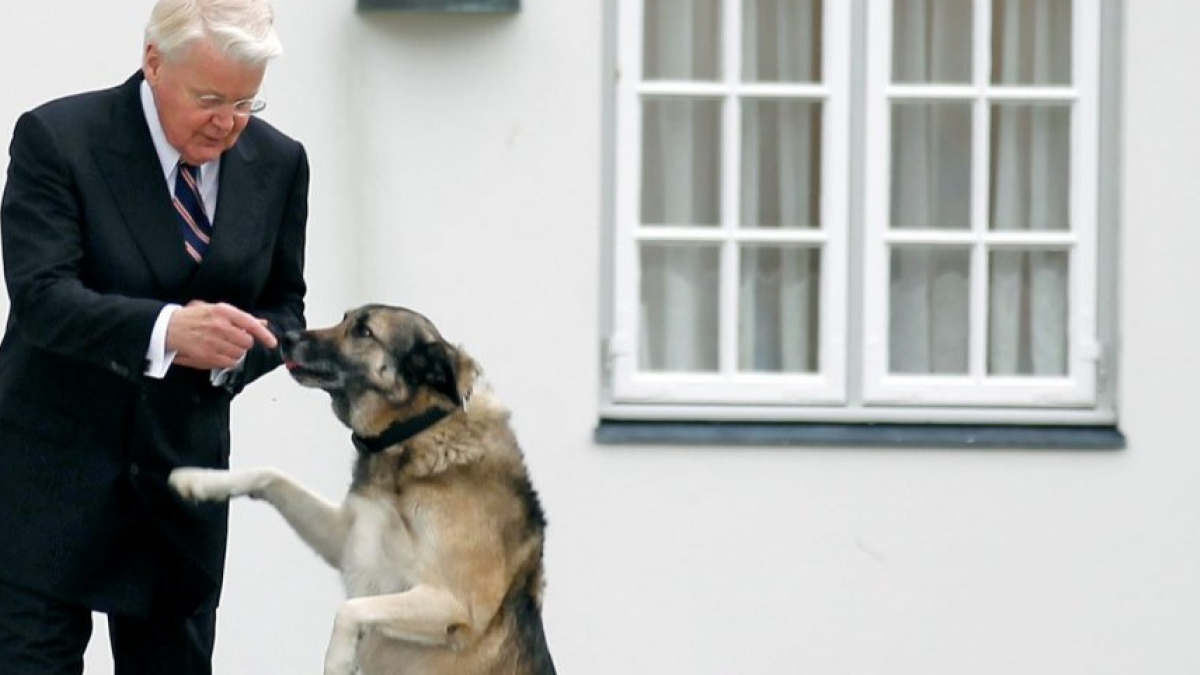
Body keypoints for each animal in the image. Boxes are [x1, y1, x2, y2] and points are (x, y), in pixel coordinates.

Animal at [169, 305, 552, 672]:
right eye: (345, 319)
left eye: (364, 332)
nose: (285, 338)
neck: (411, 435)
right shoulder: (347, 540)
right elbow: (272, 475)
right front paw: (201, 480)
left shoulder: (456, 603)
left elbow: (351, 609)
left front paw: (338, 660)